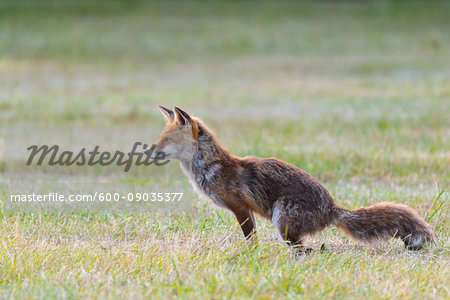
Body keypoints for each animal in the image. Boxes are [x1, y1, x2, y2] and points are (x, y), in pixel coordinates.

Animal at [149, 105, 436, 253]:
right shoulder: (246, 210)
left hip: (282, 217)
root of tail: (332, 208)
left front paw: (251, 255)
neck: (214, 168)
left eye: (166, 140)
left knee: (302, 248)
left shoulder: (240, 207)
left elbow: (250, 238)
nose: (148, 151)